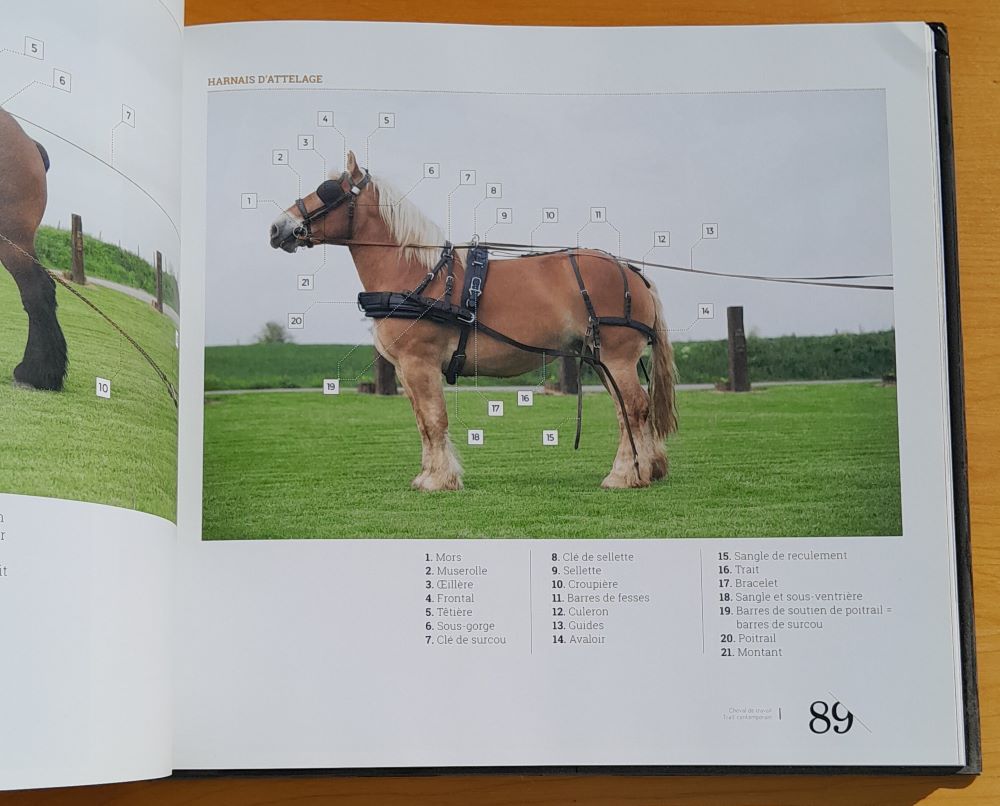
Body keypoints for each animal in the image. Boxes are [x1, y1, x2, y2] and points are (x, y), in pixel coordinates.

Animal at [270, 151, 676, 491]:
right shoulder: (406, 369)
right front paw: (427, 475)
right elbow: (422, 422)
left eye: (327, 190)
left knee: (634, 408)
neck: (415, 272)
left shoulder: (419, 363)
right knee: (627, 410)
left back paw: (623, 476)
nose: (277, 228)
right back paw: (645, 470)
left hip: (616, 357)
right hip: (600, 357)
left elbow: (434, 419)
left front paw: (439, 480)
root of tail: (632, 273)